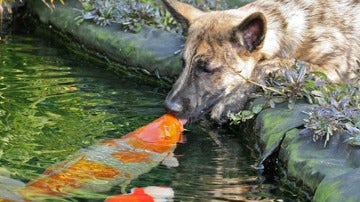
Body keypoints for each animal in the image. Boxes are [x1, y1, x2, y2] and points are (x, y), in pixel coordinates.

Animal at [162, 0, 360, 122]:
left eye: (207, 69)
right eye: (183, 63)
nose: (169, 107)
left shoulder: (335, 70)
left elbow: (267, 65)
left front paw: (231, 101)